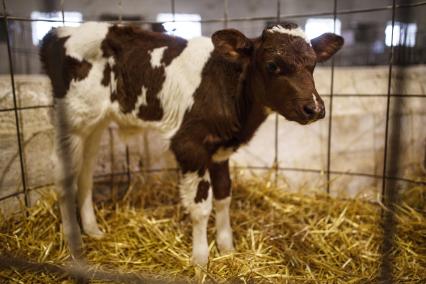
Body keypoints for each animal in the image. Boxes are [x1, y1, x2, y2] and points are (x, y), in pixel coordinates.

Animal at [40, 21, 342, 266]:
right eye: (272, 65)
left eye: (313, 64)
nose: (314, 108)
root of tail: (59, 31)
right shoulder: (189, 145)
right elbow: (201, 205)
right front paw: (200, 259)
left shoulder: (220, 150)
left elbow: (223, 195)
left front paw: (227, 248)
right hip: (72, 119)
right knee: (64, 176)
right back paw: (74, 244)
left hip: (95, 122)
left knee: (86, 170)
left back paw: (92, 229)